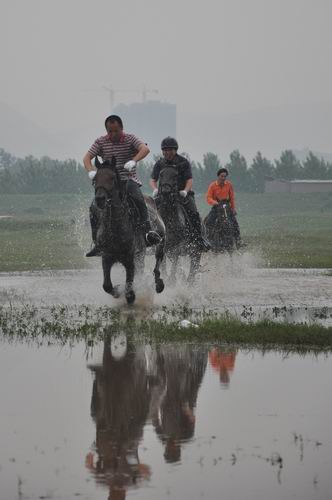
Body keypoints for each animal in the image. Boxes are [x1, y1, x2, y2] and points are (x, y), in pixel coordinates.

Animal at [92, 156, 165, 304]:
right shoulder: (106, 257)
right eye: (95, 178)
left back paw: (159, 283)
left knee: (158, 258)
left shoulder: (131, 258)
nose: (100, 199)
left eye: (112, 178)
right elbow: (107, 286)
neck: (116, 226)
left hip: (160, 239)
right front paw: (116, 291)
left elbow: (130, 289)